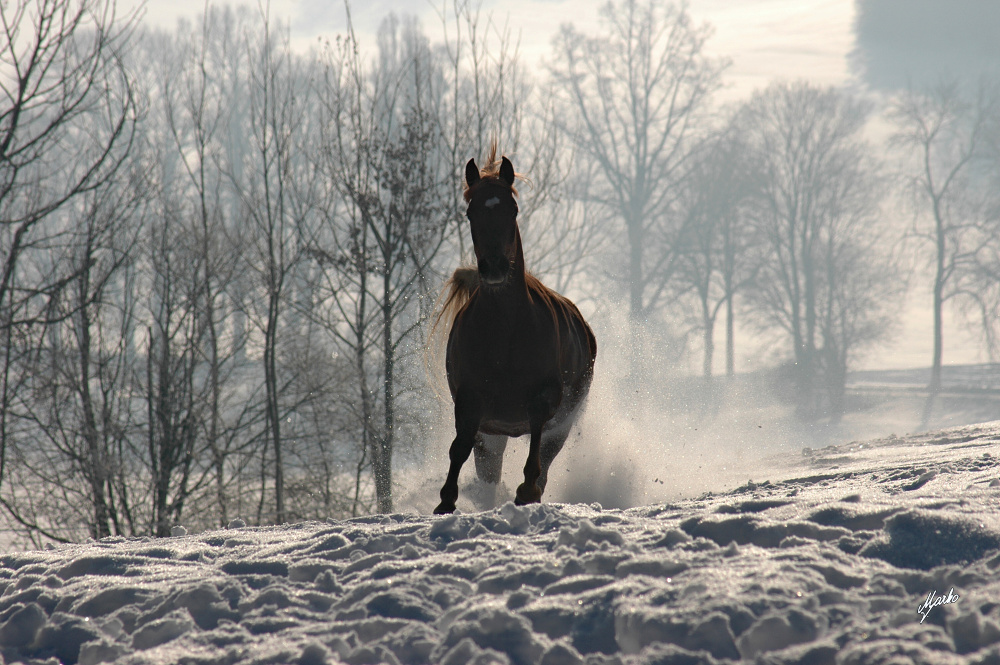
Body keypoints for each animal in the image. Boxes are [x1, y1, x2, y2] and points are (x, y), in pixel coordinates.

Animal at [430, 150, 592, 512]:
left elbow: (535, 453)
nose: (494, 268)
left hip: (563, 424)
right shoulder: (471, 405)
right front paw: (446, 501)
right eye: (470, 211)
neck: (506, 333)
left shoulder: (546, 401)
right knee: (488, 468)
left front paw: (526, 492)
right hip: (492, 436)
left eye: (512, 208)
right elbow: (458, 448)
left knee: (545, 457)